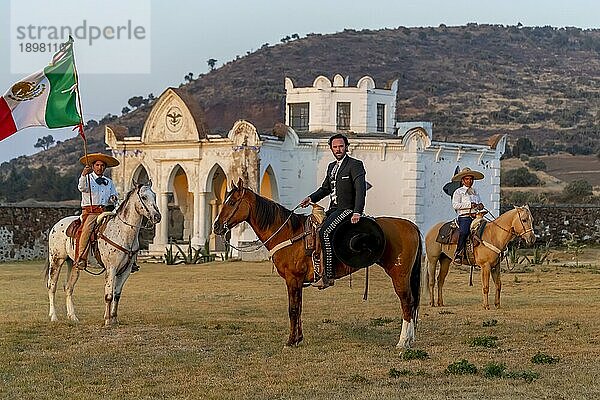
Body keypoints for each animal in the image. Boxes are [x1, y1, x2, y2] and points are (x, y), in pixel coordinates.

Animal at [44, 183, 161, 326]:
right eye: (143, 197)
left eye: (154, 195)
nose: (157, 216)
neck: (123, 232)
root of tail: (55, 226)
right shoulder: (111, 269)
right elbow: (108, 295)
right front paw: (107, 320)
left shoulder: (125, 270)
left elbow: (117, 294)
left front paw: (114, 318)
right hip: (56, 260)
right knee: (52, 286)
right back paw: (53, 316)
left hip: (74, 264)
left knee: (68, 287)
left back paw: (73, 317)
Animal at [213, 180, 424, 348]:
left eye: (232, 202)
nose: (216, 226)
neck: (289, 233)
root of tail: (410, 225)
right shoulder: (297, 282)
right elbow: (298, 308)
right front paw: (298, 338)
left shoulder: (292, 279)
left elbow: (293, 309)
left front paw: (291, 341)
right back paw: (410, 339)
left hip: (399, 275)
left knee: (407, 302)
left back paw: (403, 342)